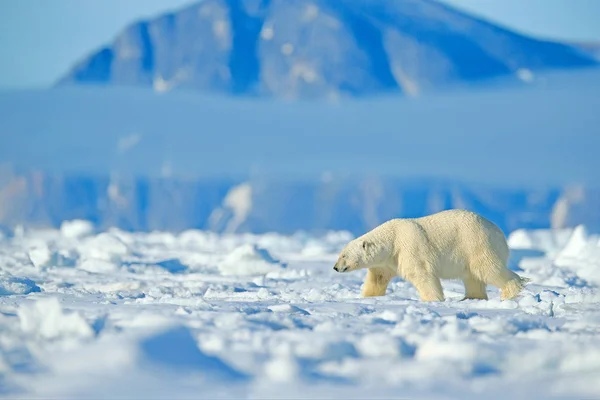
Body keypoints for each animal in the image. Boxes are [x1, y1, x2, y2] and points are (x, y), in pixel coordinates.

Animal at [332, 209, 528, 300]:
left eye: (344, 256)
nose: (335, 268)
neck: (392, 238)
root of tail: (499, 233)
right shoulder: (387, 262)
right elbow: (377, 279)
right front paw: (367, 298)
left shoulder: (408, 248)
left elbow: (422, 274)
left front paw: (433, 300)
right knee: (472, 277)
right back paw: (470, 297)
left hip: (476, 243)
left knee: (487, 268)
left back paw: (509, 292)